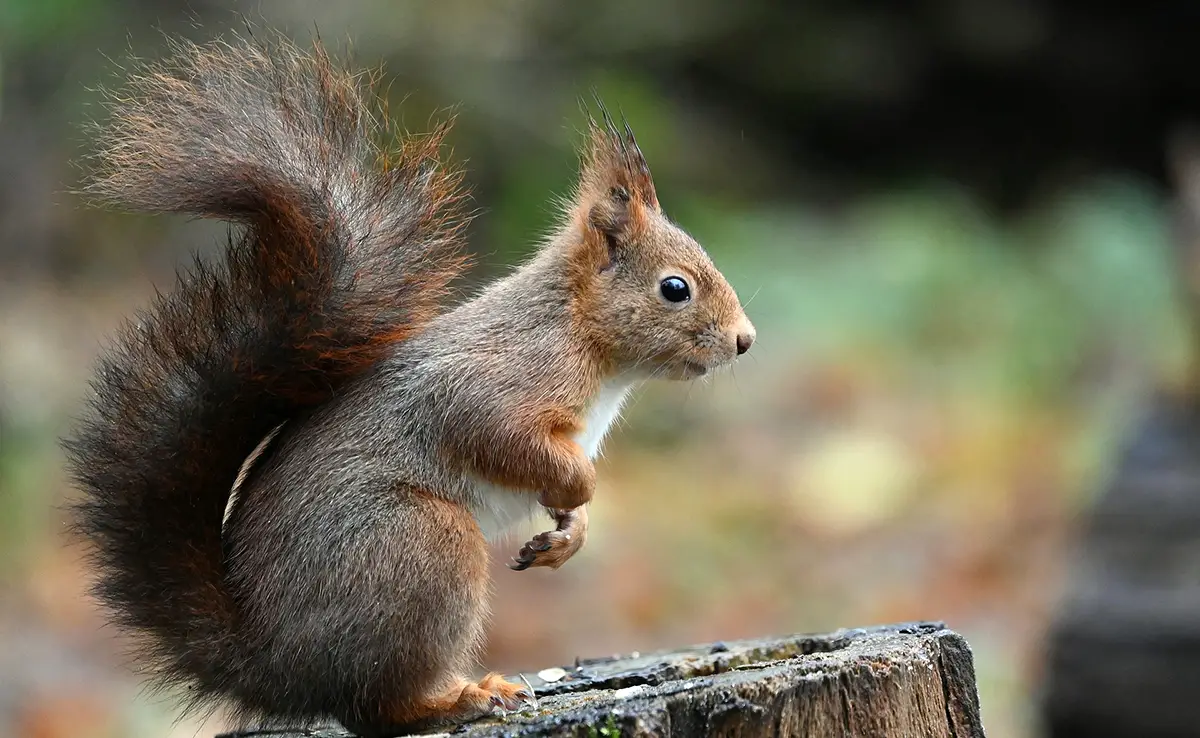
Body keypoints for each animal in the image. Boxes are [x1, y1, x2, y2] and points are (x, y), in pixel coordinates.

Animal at [63, 30, 748, 738]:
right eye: (675, 288)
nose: (744, 340)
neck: (583, 338)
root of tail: (276, 663)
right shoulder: (498, 381)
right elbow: (501, 436)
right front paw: (579, 491)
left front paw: (567, 534)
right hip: (421, 544)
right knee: (379, 708)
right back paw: (466, 697)